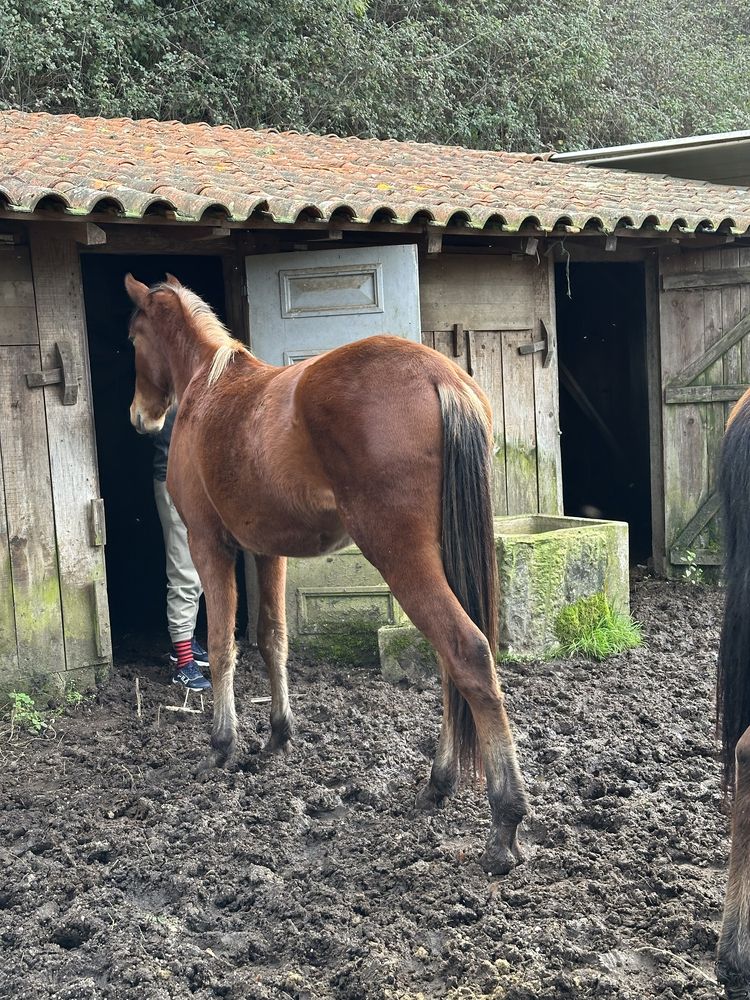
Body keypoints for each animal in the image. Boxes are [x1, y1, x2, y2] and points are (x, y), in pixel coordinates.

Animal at [125, 274, 528, 876]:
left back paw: (503, 825)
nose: (140, 415)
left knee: (467, 652)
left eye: (133, 338)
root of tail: (440, 376)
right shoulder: (266, 553)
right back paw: (437, 785)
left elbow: (220, 644)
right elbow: (271, 638)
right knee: (448, 661)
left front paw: (221, 746)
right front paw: (277, 737)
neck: (210, 390)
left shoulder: (208, 545)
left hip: (400, 556)